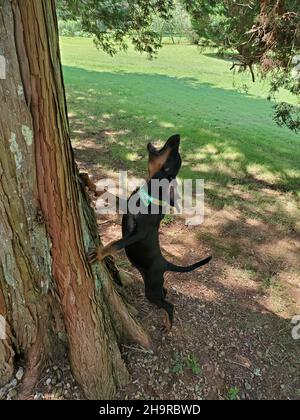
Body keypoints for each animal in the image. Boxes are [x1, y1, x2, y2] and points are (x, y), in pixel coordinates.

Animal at [88, 135, 212, 332]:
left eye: (172, 159)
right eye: (176, 151)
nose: (177, 137)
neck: (148, 193)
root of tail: (165, 263)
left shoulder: (138, 233)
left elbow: (115, 243)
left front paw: (100, 253)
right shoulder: (126, 205)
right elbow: (109, 195)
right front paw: (89, 183)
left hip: (151, 289)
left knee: (169, 305)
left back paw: (168, 326)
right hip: (155, 285)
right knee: (165, 293)